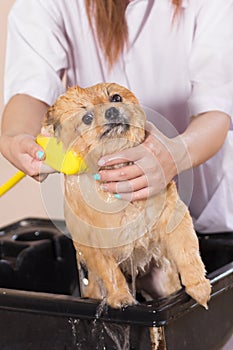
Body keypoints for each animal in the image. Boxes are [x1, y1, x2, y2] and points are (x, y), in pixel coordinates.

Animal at [41, 82, 211, 308]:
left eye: (115, 98)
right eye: (87, 118)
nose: (112, 110)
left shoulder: (173, 216)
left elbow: (187, 252)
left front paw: (198, 285)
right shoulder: (94, 244)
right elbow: (110, 272)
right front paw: (121, 297)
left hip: (163, 282)